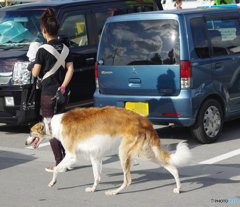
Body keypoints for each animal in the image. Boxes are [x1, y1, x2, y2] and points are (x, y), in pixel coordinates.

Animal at [25, 106, 191, 195]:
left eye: (31, 132)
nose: (25, 142)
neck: (53, 125)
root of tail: (146, 122)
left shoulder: (72, 155)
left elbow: (56, 169)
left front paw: (52, 182)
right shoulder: (95, 156)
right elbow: (97, 177)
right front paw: (93, 189)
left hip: (124, 153)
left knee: (127, 180)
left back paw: (114, 192)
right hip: (148, 152)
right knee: (172, 167)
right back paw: (178, 188)